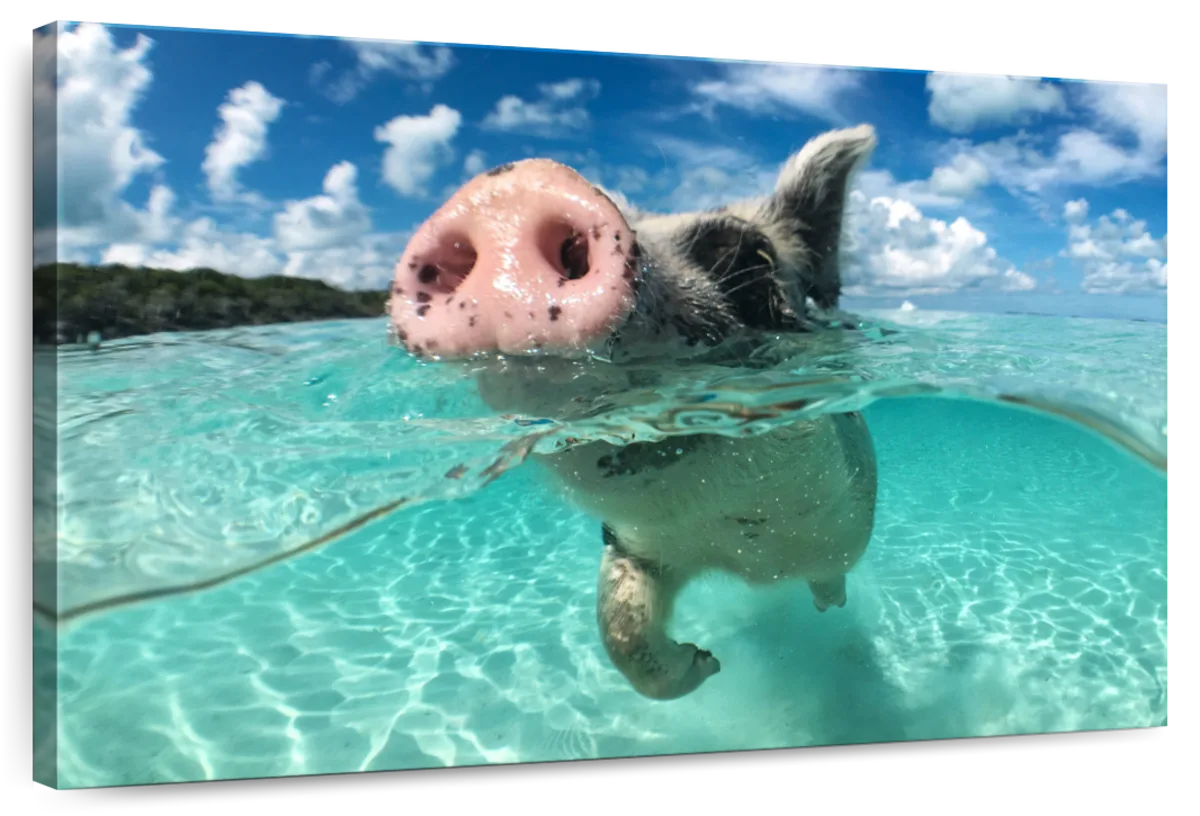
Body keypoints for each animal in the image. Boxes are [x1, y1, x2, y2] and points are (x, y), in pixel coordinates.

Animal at [388, 125, 880, 701]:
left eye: (747, 257)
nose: (511, 191)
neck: (742, 552)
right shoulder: (631, 544)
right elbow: (619, 628)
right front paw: (706, 663)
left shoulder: (840, 527)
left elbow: (830, 572)